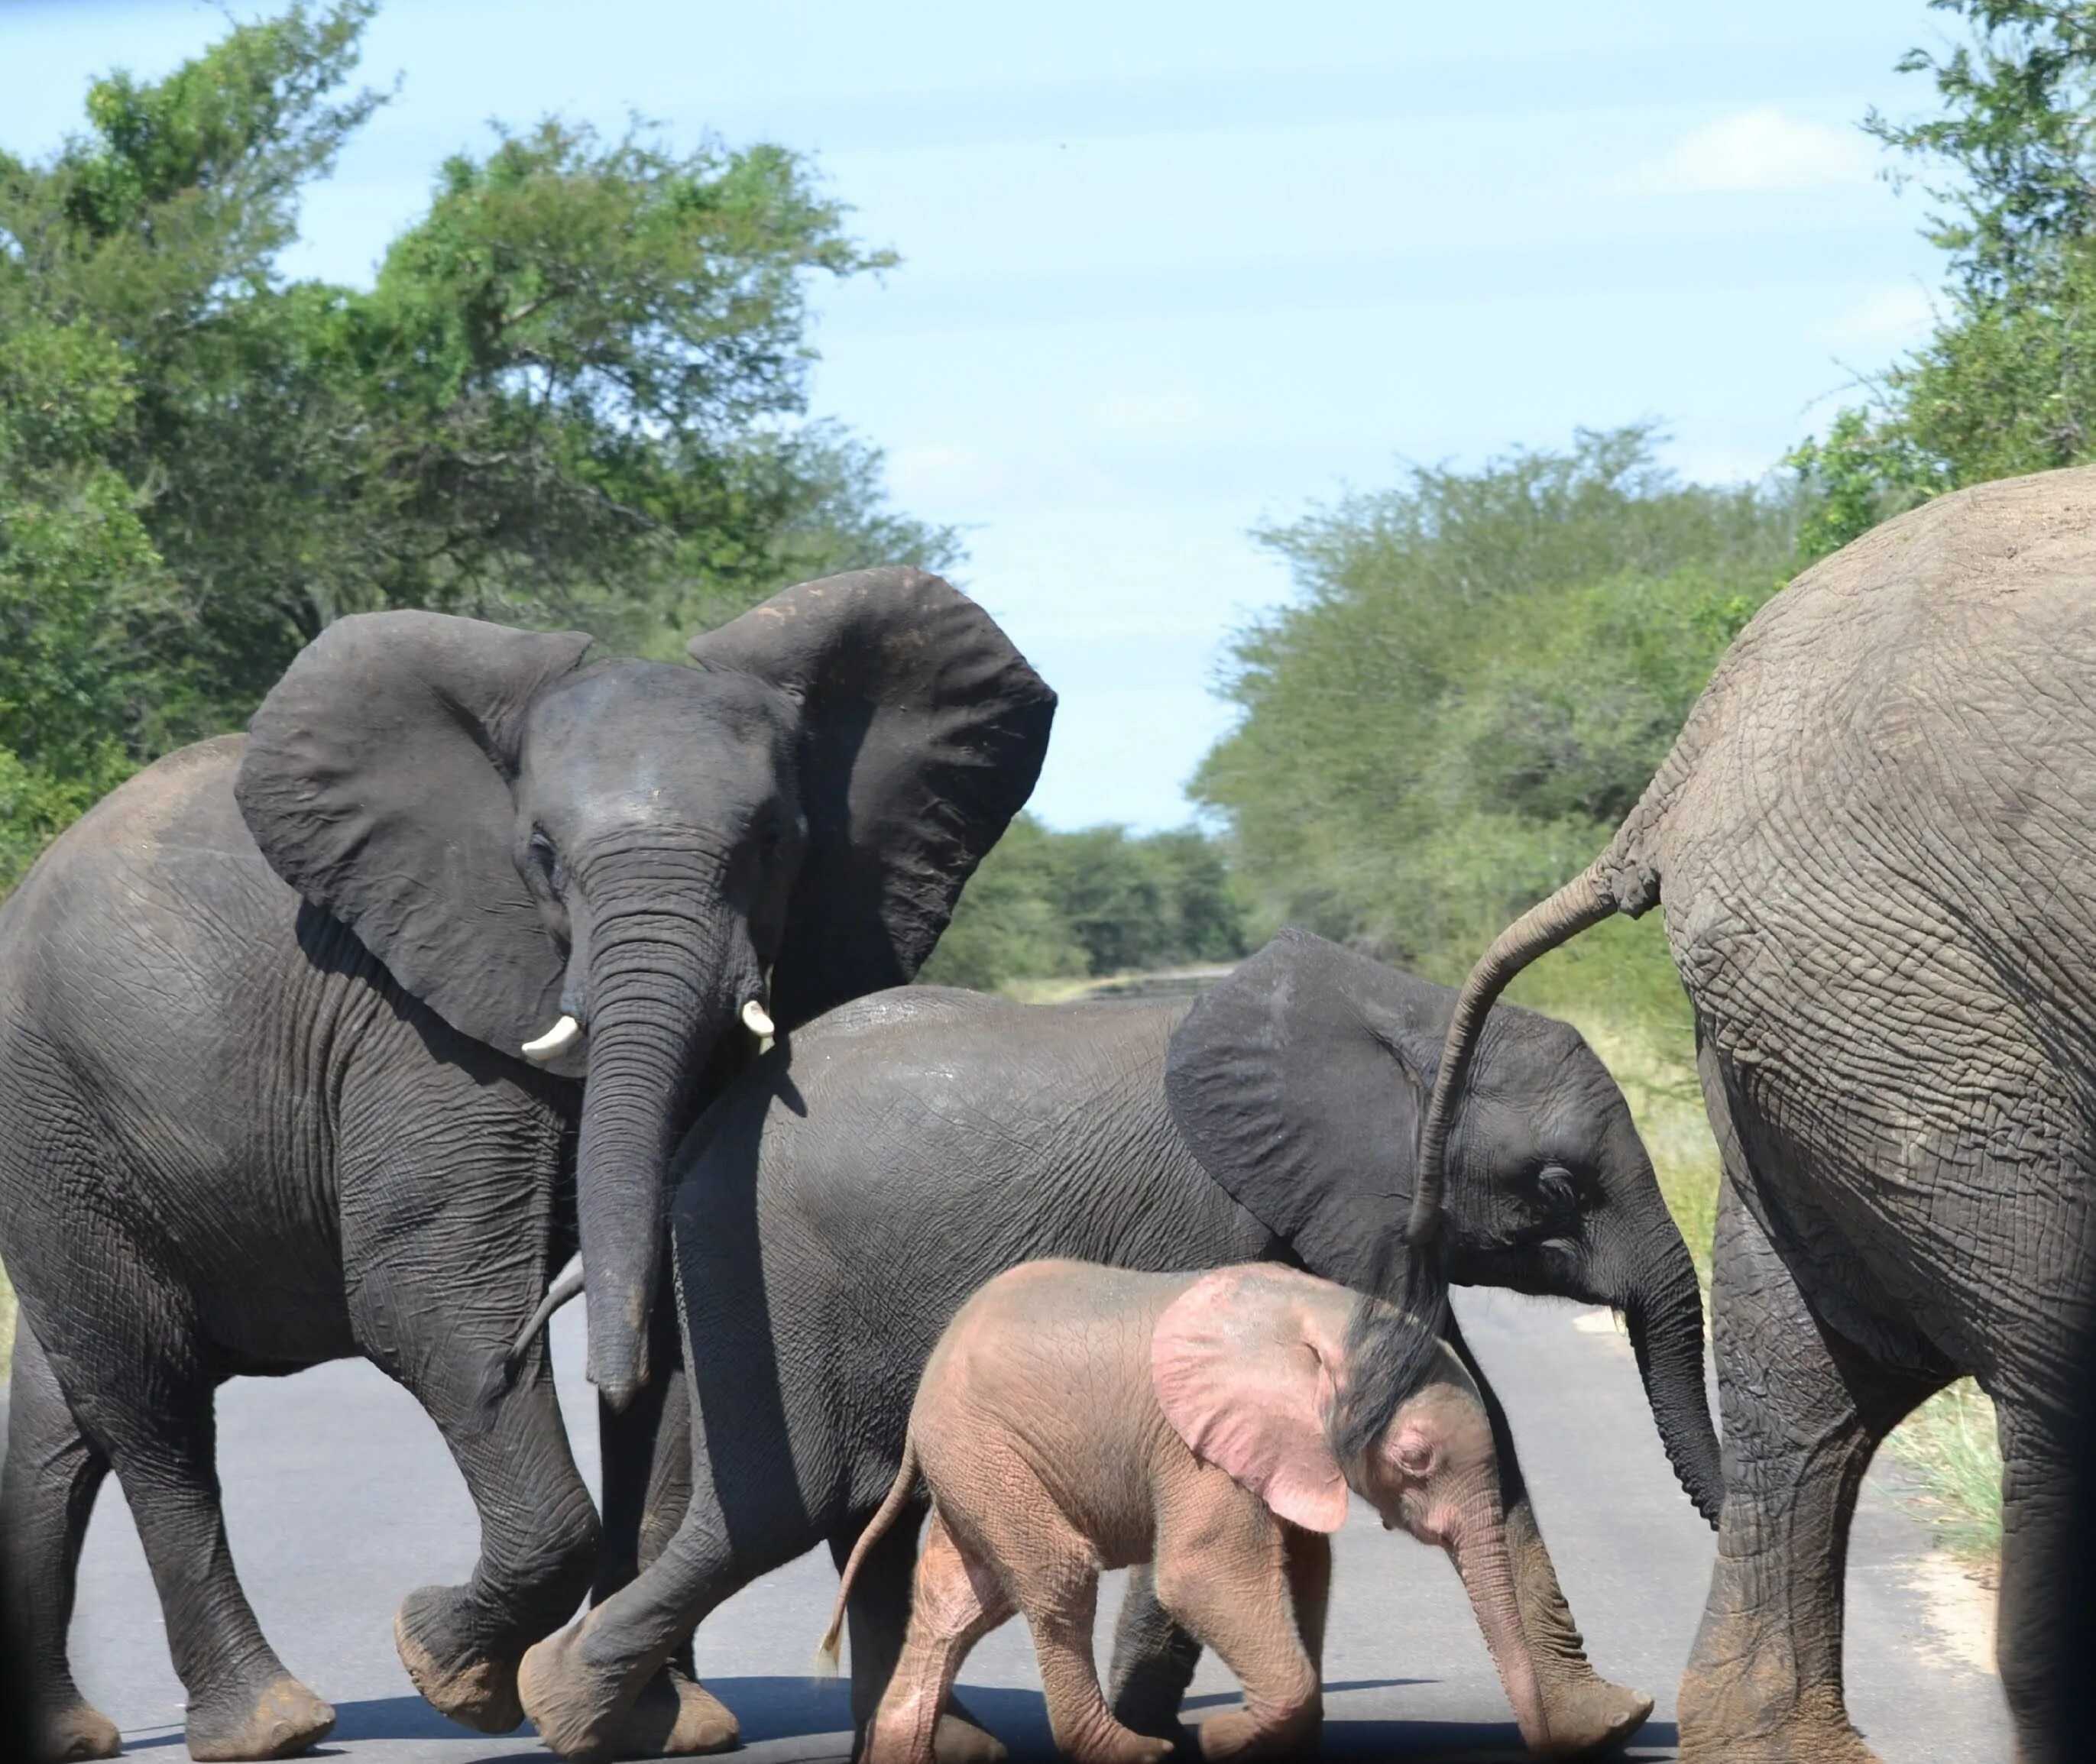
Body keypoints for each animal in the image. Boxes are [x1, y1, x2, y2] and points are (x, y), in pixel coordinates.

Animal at [0, 565, 1048, 1759]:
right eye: (541, 854)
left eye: (773, 843)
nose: (595, 1369)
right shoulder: (421, 1030)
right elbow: (431, 1301)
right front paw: (451, 1671)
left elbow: (682, 1306)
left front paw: (663, 1724)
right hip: (57, 1114)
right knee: (149, 1398)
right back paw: (273, 1724)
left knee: (60, 1420)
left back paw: (70, 1733)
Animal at [821, 1257, 1559, 1759]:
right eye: (1416, 1458)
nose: (1547, 1740)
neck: (1328, 1314)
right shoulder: (1197, 1447)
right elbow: (1201, 1576)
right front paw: (1224, 1737)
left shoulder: (1279, 1448)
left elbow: (1308, 1568)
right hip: (985, 1450)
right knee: (1059, 1575)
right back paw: (1134, 1750)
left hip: (975, 1465)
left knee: (958, 1606)